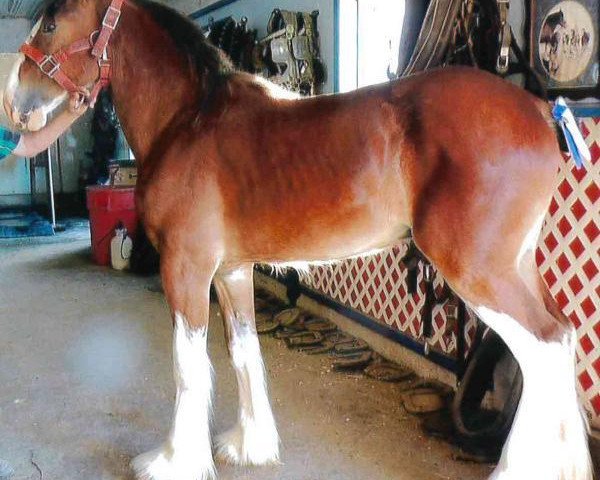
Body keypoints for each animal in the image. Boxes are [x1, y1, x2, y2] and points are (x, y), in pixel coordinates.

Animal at [2, 0, 592, 480]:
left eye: (50, 22)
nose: (14, 104)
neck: (189, 119)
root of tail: (540, 111)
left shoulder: (186, 268)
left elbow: (187, 363)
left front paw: (173, 460)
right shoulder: (231, 271)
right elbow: (242, 350)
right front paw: (249, 445)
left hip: (476, 271)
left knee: (545, 346)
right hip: (517, 267)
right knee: (561, 339)